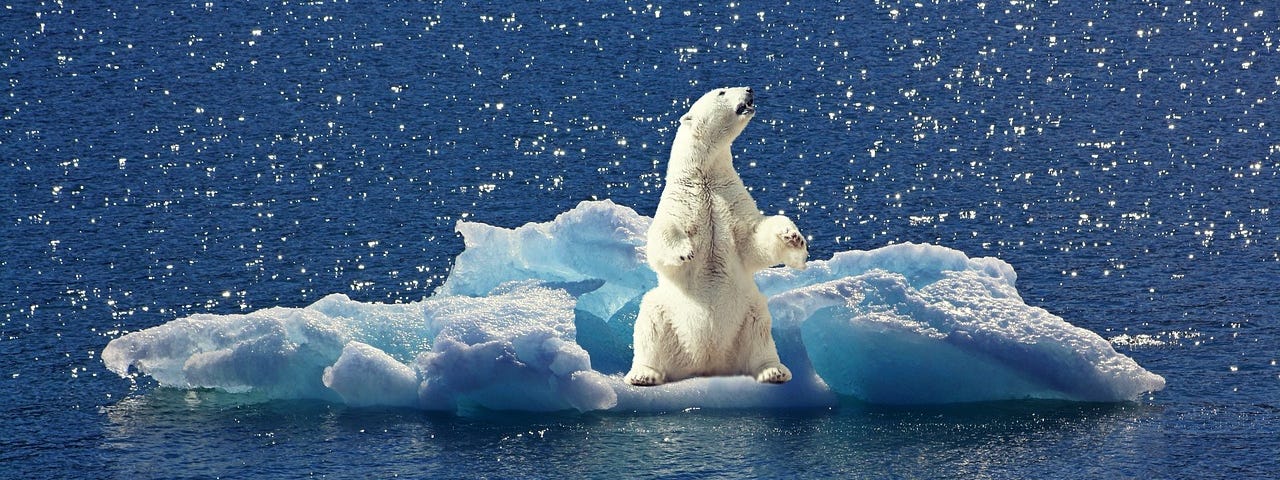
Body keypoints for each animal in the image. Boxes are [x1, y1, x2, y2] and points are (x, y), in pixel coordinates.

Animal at [622, 86, 808, 386]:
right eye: (721, 91)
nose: (749, 89)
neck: (704, 176)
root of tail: (707, 363)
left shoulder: (730, 199)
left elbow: (753, 239)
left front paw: (793, 237)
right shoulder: (681, 201)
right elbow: (662, 235)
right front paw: (684, 251)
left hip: (748, 312)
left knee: (760, 331)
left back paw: (773, 371)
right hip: (666, 312)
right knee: (650, 322)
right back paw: (643, 374)